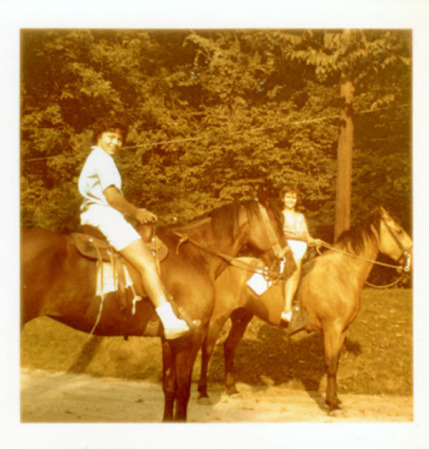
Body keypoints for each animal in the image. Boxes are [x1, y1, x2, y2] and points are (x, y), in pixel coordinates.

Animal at [21, 199, 286, 420]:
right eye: (277, 223)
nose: (287, 261)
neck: (193, 257)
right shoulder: (191, 339)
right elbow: (183, 392)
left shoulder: (169, 340)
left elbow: (169, 388)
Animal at [196, 205, 412, 412]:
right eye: (399, 231)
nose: (411, 258)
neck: (341, 272)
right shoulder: (332, 329)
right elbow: (330, 364)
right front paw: (331, 404)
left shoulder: (342, 329)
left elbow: (336, 363)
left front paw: (335, 400)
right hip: (218, 317)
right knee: (207, 349)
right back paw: (203, 393)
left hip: (241, 317)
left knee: (229, 347)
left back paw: (231, 388)